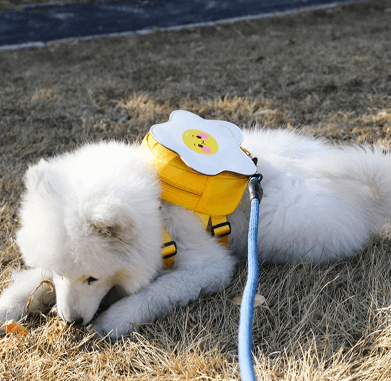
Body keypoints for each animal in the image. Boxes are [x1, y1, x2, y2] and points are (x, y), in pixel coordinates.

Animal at [0, 127, 391, 336]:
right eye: (60, 273)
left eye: (92, 278)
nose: (72, 323)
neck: (159, 205)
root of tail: (364, 193)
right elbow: (29, 284)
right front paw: (10, 304)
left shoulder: (210, 265)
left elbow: (158, 291)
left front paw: (115, 319)